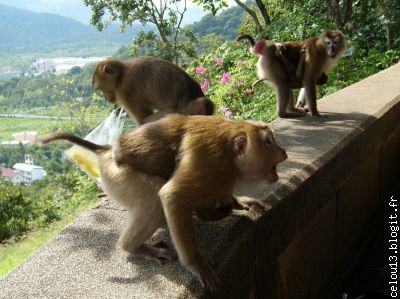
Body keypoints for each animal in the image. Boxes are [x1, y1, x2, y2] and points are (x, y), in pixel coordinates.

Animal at [38, 113, 288, 292]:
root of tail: (107, 150)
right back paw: (135, 248)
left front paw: (239, 202)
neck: (231, 155)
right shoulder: (210, 162)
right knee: (155, 200)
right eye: (269, 142)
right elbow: (172, 196)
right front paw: (196, 263)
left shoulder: (221, 173)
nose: (284, 151)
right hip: (118, 176)